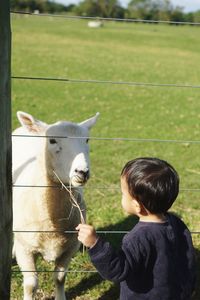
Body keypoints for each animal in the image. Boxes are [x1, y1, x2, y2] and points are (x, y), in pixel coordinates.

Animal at [12, 110, 99, 300]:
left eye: (87, 140)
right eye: (52, 141)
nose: (82, 172)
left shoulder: (70, 247)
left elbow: (60, 278)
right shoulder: (25, 249)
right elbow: (30, 285)